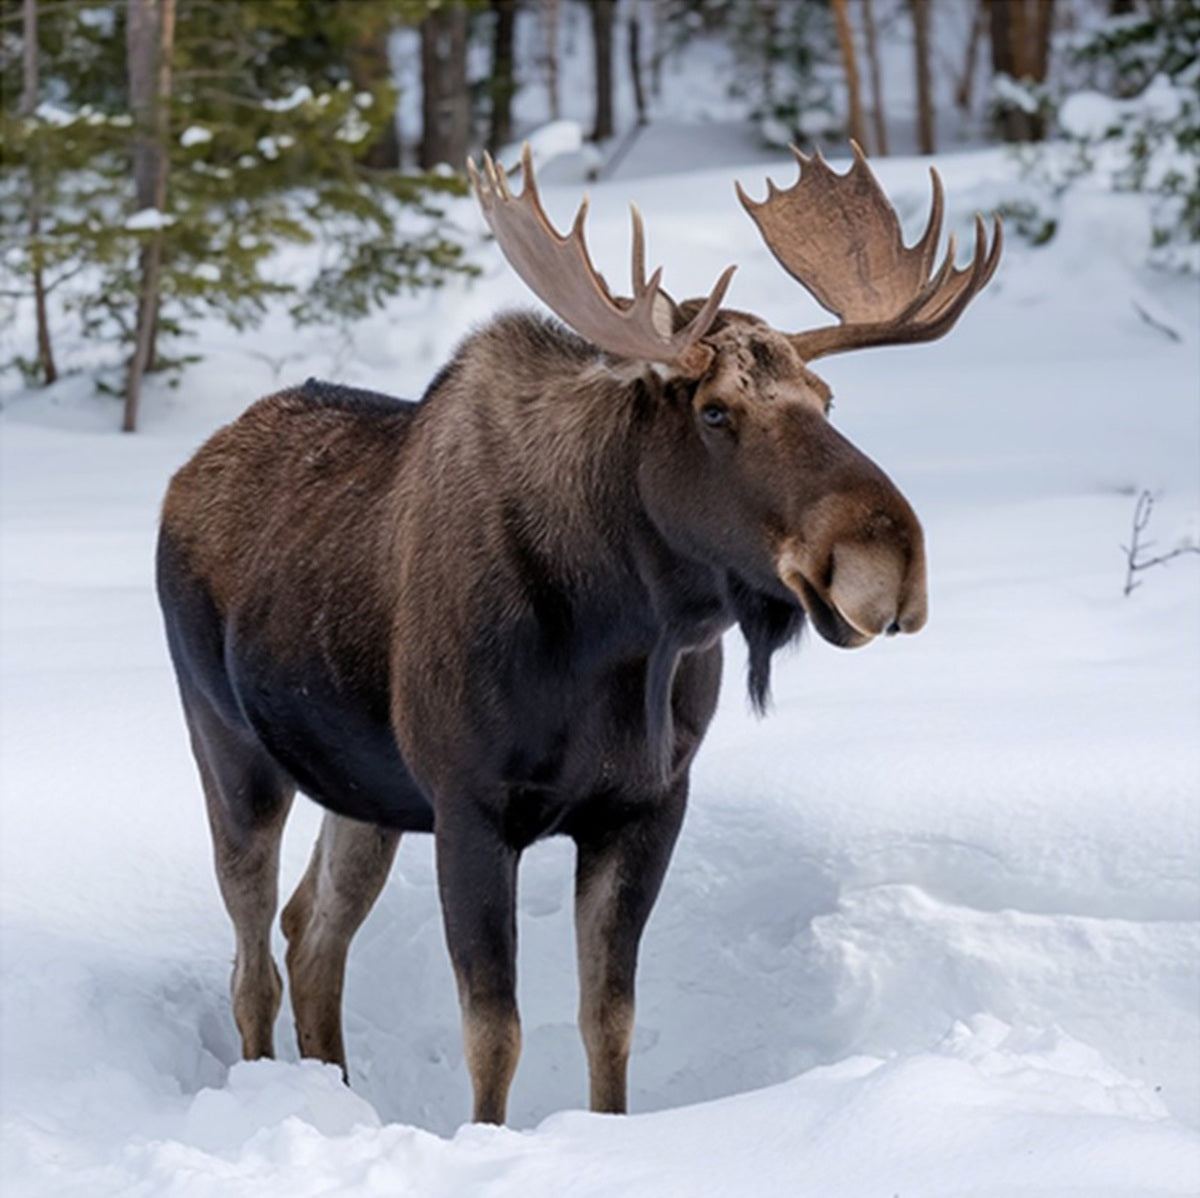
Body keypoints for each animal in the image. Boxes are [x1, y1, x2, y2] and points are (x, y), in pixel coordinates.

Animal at [157, 144, 1001, 1125]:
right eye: (715, 410)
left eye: (827, 399)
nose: (887, 560)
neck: (621, 640)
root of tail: (182, 477)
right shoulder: (471, 805)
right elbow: (496, 1033)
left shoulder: (645, 806)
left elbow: (610, 1018)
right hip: (230, 750)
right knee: (252, 961)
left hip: (363, 792)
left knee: (312, 933)